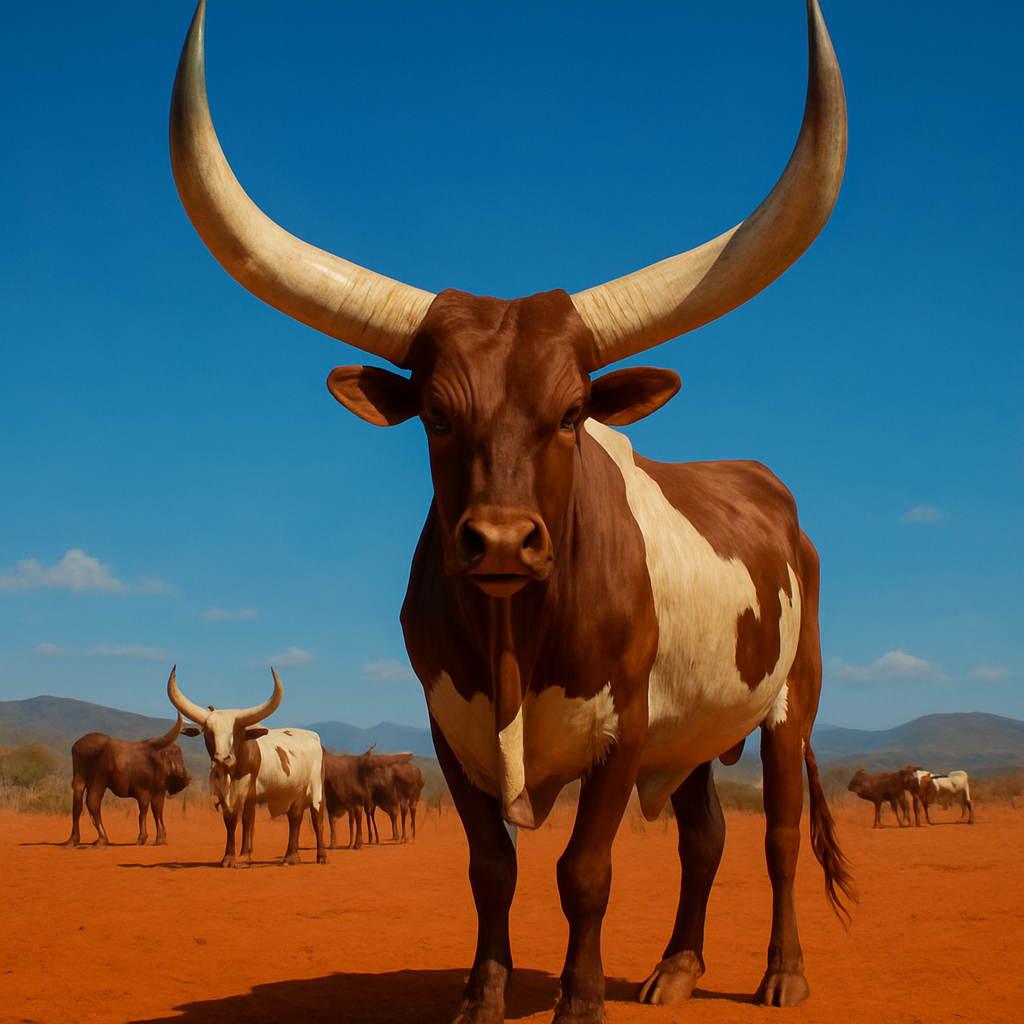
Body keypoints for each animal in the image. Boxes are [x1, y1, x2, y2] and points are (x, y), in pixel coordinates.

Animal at [63, 698, 191, 847]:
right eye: (174, 756)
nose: (187, 778)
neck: (154, 761)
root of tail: (81, 746)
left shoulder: (159, 792)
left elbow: (157, 812)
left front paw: (161, 838)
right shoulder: (143, 792)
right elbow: (144, 811)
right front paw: (142, 837)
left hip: (79, 778)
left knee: (77, 804)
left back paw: (74, 839)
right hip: (99, 781)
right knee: (92, 802)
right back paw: (102, 838)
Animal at [167, 666, 328, 867]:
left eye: (235, 733)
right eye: (208, 733)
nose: (222, 759)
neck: (233, 772)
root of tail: (315, 738)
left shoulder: (249, 790)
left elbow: (247, 818)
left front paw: (244, 856)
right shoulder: (223, 791)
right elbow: (230, 819)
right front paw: (228, 857)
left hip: (316, 787)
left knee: (317, 817)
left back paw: (321, 856)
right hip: (294, 792)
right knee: (295, 817)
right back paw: (291, 857)